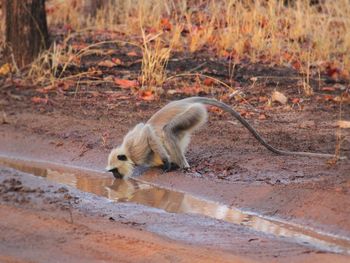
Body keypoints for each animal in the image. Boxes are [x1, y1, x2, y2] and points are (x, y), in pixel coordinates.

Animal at [106, 97, 344, 179]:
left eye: (115, 170)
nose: (116, 178)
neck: (127, 153)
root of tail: (186, 101)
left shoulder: (136, 146)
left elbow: (147, 131)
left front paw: (165, 164)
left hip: (195, 111)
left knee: (167, 130)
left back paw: (181, 166)